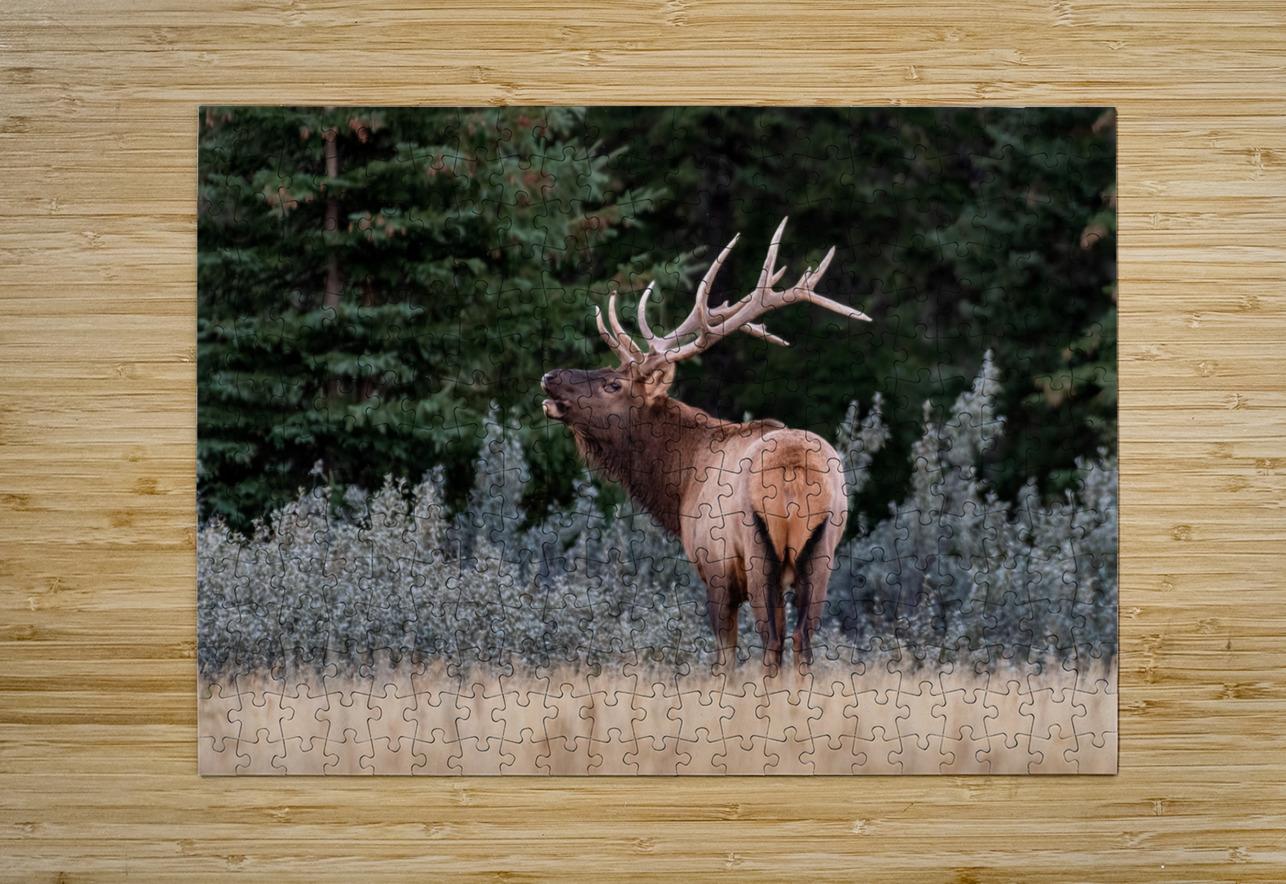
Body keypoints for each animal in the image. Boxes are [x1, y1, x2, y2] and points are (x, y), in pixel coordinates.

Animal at [541, 218, 870, 674]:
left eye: (613, 384)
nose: (550, 376)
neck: (679, 484)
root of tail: (795, 478)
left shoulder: (714, 566)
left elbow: (724, 658)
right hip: (823, 551)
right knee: (801, 640)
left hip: (758, 552)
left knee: (771, 642)